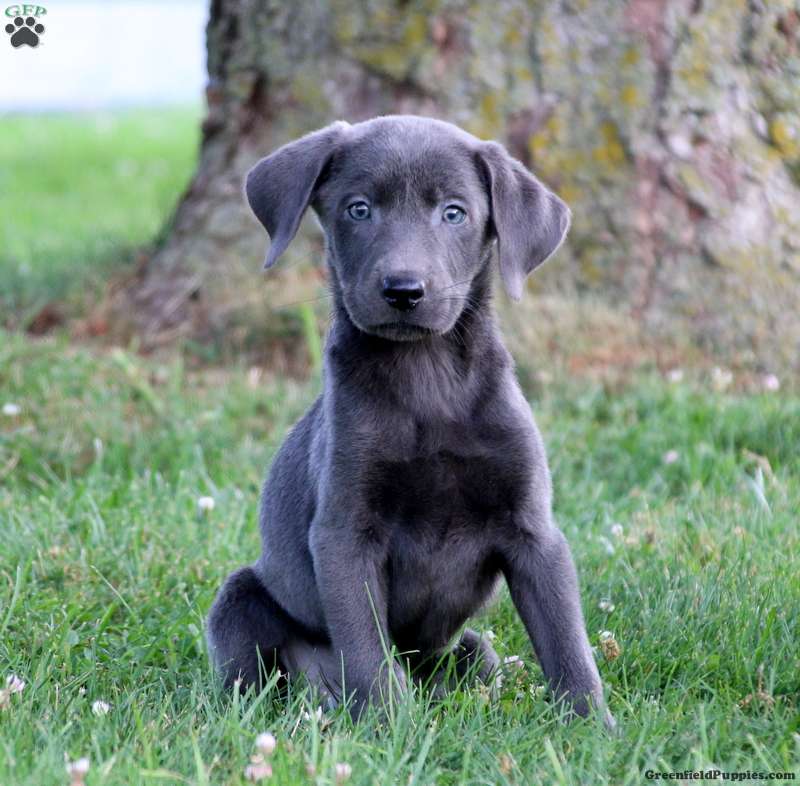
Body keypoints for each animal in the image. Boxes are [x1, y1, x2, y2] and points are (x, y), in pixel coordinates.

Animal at [206, 113, 612, 724]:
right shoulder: (344, 532)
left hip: (472, 650)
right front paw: (391, 727)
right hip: (240, 601)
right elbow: (366, 648)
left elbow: (567, 640)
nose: (403, 290)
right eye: (358, 209)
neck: (428, 380)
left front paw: (595, 728)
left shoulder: (533, 530)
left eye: (454, 213)